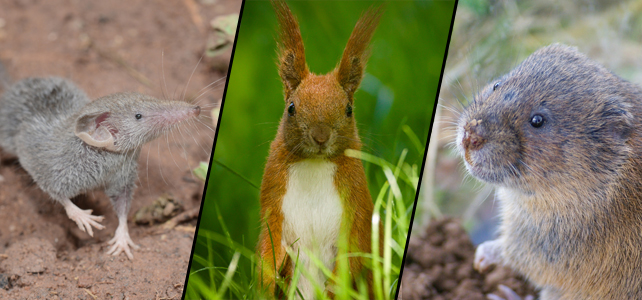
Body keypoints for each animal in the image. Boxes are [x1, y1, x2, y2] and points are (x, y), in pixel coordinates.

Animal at [256, 1, 380, 298]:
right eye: (291, 107)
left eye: (348, 109)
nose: (320, 136)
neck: (315, 164)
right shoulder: (273, 200)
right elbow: (268, 245)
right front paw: (267, 279)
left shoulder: (356, 203)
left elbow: (354, 251)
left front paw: (335, 286)